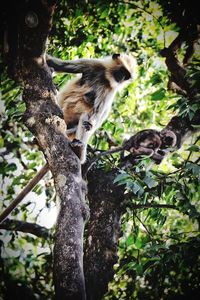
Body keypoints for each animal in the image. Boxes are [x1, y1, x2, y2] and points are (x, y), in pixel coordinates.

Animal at [0, 52, 136, 223]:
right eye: (122, 73)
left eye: (126, 76)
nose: (121, 79)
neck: (106, 78)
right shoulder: (94, 65)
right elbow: (58, 64)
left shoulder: (110, 90)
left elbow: (94, 116)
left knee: (87, 117)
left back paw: (78, 150)